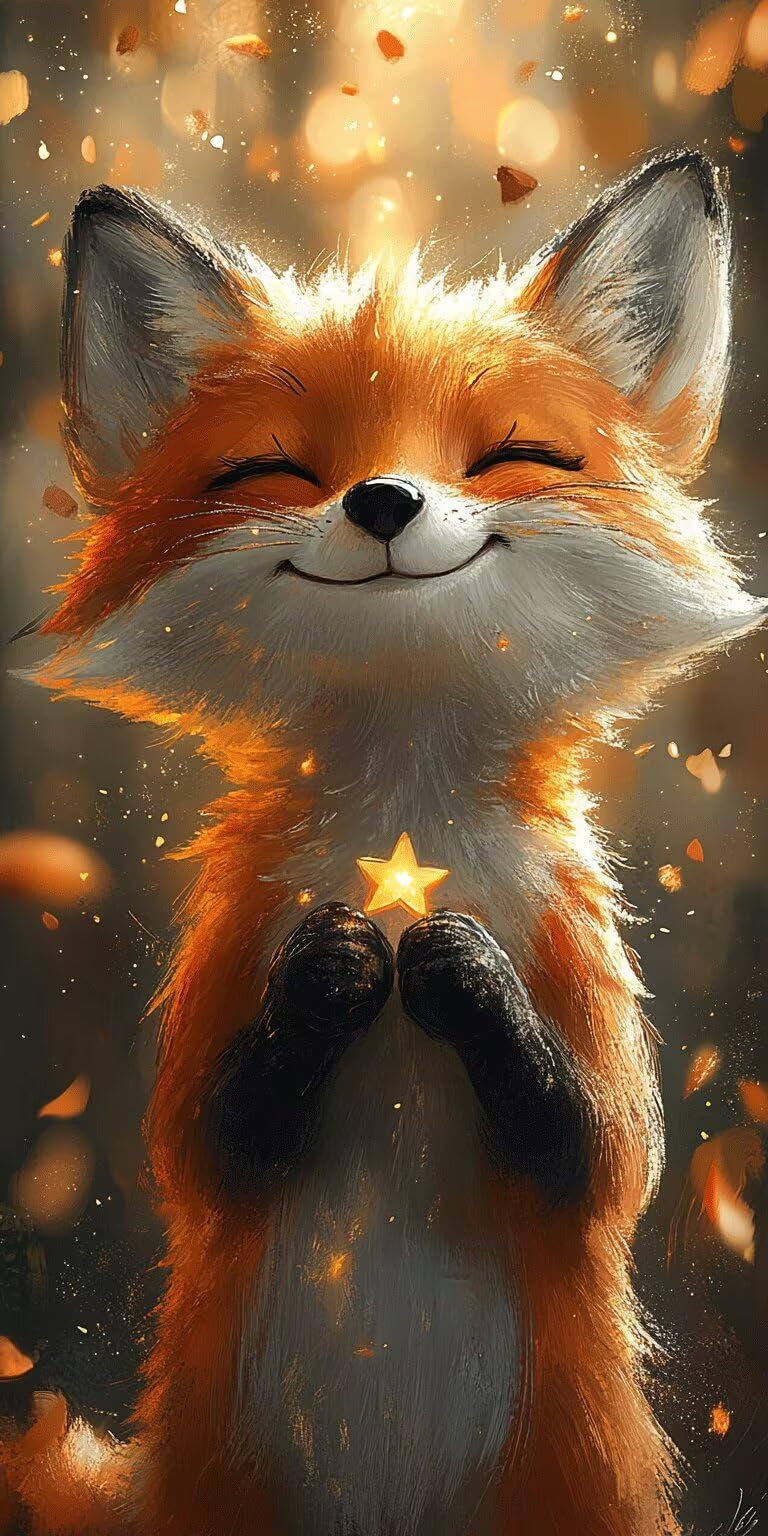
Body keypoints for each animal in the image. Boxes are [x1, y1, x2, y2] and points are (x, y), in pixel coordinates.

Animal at [2, 147, 764, 1536]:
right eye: (274, 472)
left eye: (515, 453)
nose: (385, 500)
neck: (403, 850)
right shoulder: (230, 961)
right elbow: (203, 1145)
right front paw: (334, 976)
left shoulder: (581, 977)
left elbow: (602, 1152)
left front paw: (464, 979)